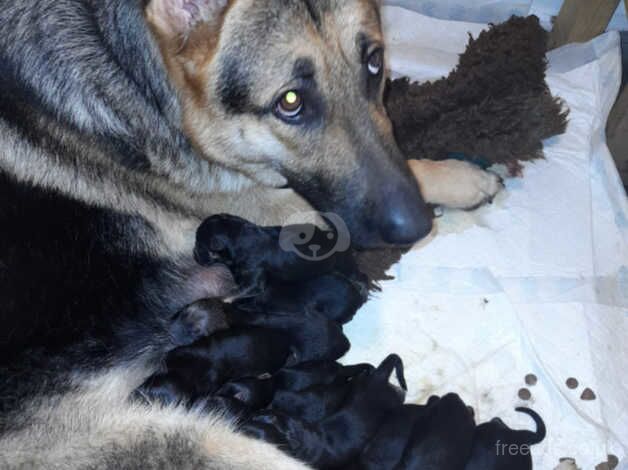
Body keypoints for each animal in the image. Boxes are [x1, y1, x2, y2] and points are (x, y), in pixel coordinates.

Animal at [244, 354, 408, 468]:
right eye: (259, 414)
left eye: (253, 432)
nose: (242, 421)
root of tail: (379, 378)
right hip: (358, 383)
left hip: (392, 400)